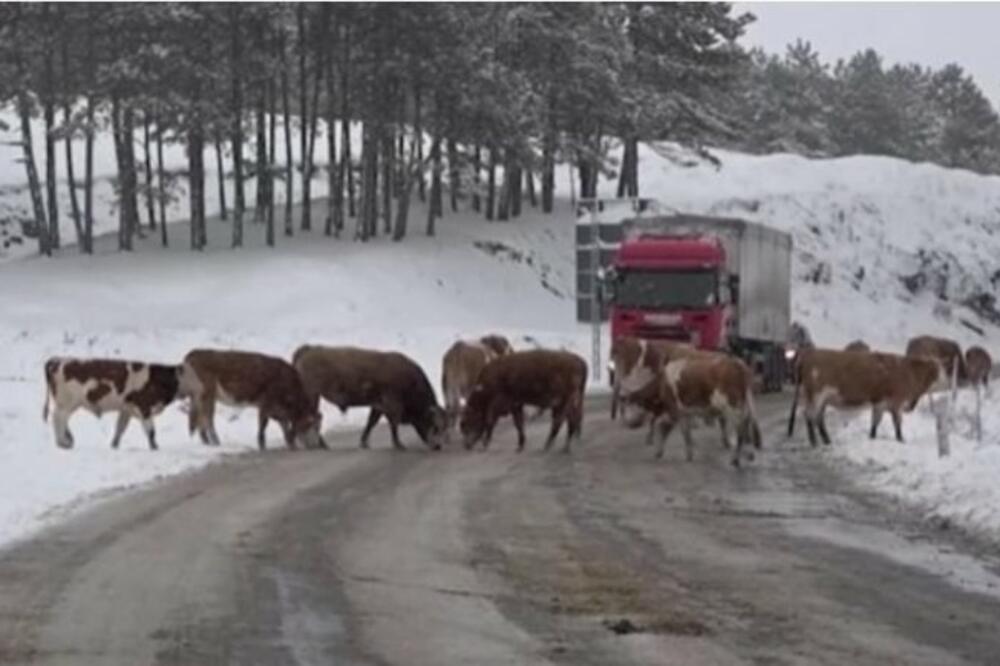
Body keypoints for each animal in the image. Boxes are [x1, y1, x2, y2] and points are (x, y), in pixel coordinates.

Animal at [41, 356, 188, 448]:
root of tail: (57, 360)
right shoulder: (144, 407)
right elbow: (151, 432)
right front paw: (155, 447)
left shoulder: (126, 409)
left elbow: (120, 428)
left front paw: (114, 444)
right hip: (66, 403)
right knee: (58, 418)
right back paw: (62, 443)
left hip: (67, 404)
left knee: (63, 420)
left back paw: (68, 439)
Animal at [183, 348, 324, 452]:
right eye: (313, 425)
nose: (316, 445)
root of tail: (193, 353)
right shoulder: (266, 403)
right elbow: (263, 425)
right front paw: (262, 446)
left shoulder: (277, 409)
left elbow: (283, 424)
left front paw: (290, 443)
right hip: (207, 395)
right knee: (207, 419)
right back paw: (216, 443)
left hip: (201, 397)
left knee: (199, 418)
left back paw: (207, 443)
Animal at [292, 344, 444, 448]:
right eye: (434, 425)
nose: (437, 446)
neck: (410, 382)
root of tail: (309, 349)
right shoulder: (392, 405)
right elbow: (392, 424)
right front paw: (399, 444)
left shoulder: (377, 406)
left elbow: (371, 422)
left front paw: (364, 443)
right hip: (312, 395)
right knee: (310, 418)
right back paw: (319, 444)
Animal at [612, 344, 760, 464]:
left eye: (631, 403)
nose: (631, 424)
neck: (662, 383)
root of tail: (737, 364)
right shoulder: (685, 412)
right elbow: (686, 433)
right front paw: (689, 453)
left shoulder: (674, 409)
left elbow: (665, 429)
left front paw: (659, 452)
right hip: (744, 405)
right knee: (748, 424)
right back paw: (750, 454)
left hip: (732, 407)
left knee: (741, 429)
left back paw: (735, 459)